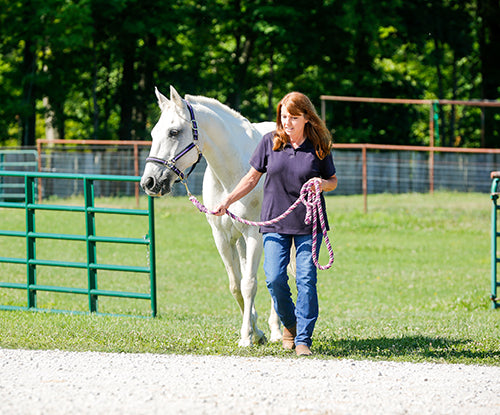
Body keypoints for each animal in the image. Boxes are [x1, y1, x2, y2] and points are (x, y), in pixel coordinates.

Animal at [141, 85, 282, 348]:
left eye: (174, 132)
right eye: (154, 133)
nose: (149, 182)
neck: (234, 174)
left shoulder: (254, 234)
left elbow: (249, 284)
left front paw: (246, 338)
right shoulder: (222, 237)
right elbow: (236, 285)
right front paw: (254, 332)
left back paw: (279, 330)